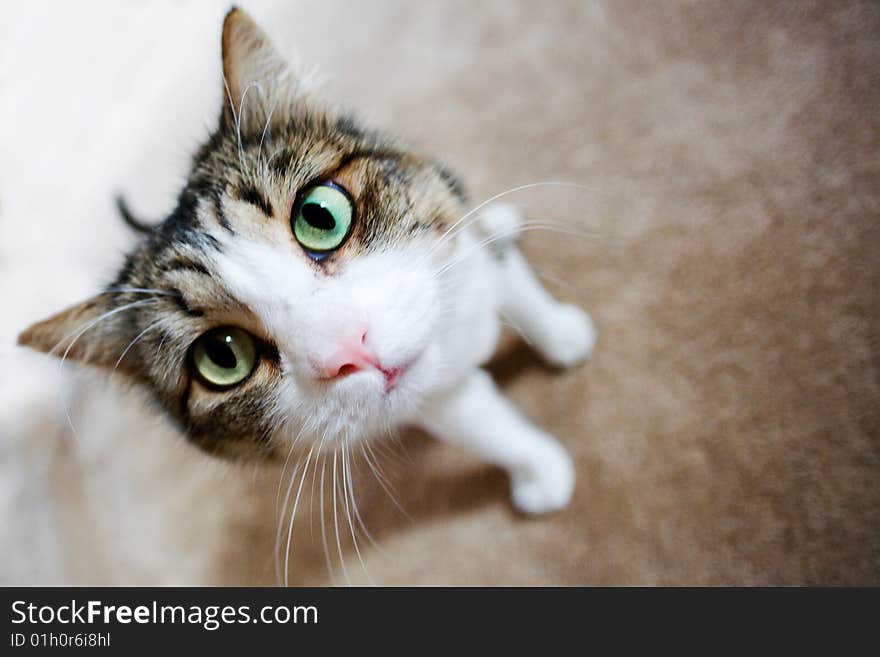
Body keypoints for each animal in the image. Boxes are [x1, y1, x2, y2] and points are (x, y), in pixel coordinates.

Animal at [18, 5, 600, 516]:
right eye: (222, 356)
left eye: (319, 215)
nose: (351, 348)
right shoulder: (434, 399)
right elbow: (491, 430)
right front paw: (542, 473)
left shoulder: (462, 236)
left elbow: (514, 288)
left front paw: (562, 336)